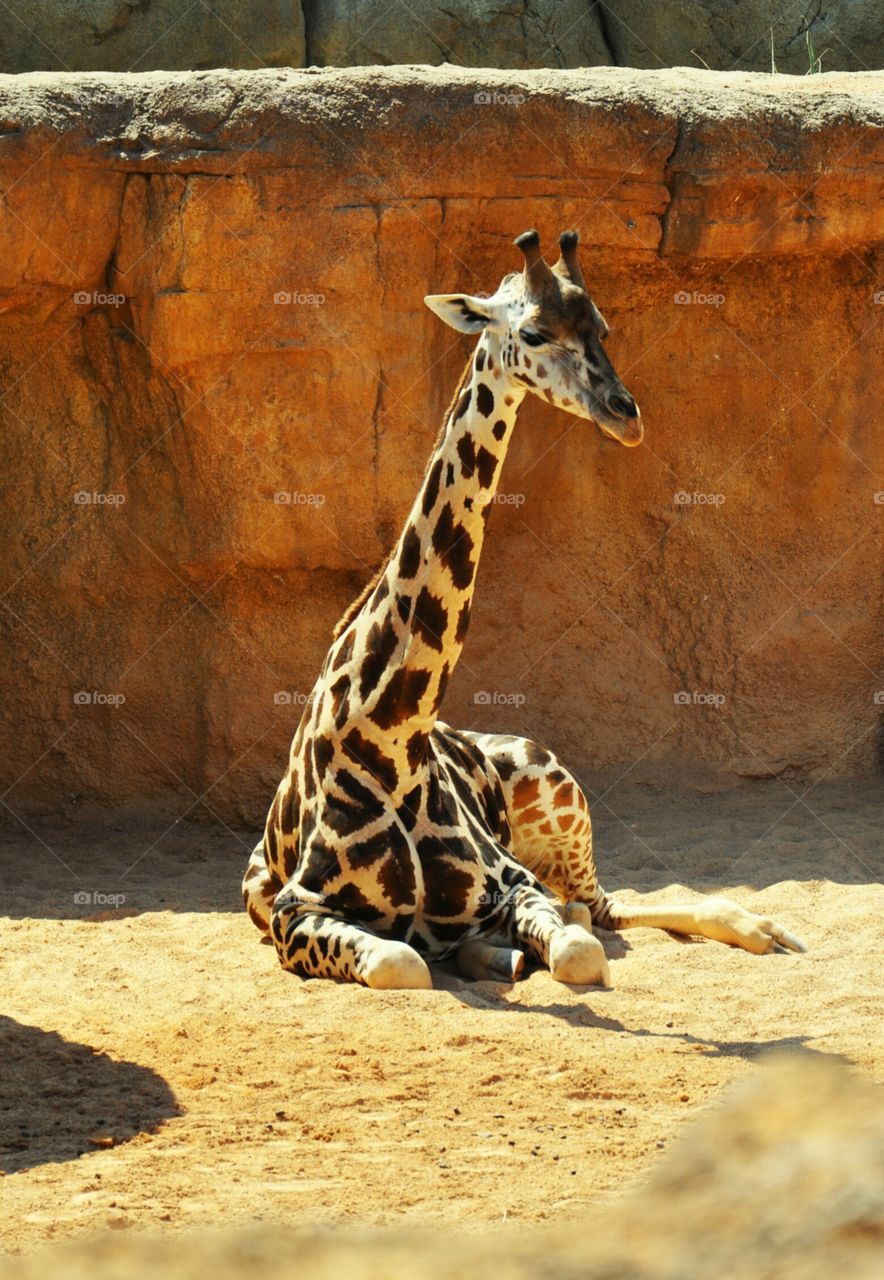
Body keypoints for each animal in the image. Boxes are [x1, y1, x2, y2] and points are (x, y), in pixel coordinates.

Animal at [244, 227, 808, 988]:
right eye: (534, 332)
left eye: (602, 327)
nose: (625, 415)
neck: (393, 732)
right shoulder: (293, 911)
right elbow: (401, 962)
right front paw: (475, 951)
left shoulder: (513, 881)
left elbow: (576, 951)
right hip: (256, 885)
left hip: (560, 789)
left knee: (599, 906)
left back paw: (760, 929)